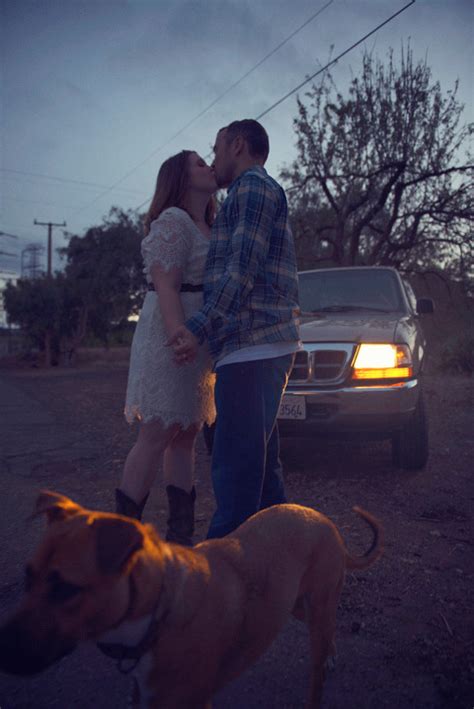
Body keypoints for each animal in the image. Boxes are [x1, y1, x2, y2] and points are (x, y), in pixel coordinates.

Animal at [0, 490, 382, 704]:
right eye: (28, 576)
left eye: (66, 588)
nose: (3, 651)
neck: (159, 612)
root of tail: (323, 520)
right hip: (295, 605)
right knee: (326, 630)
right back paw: (330, 653)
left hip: (315, 606)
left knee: (316, 678)